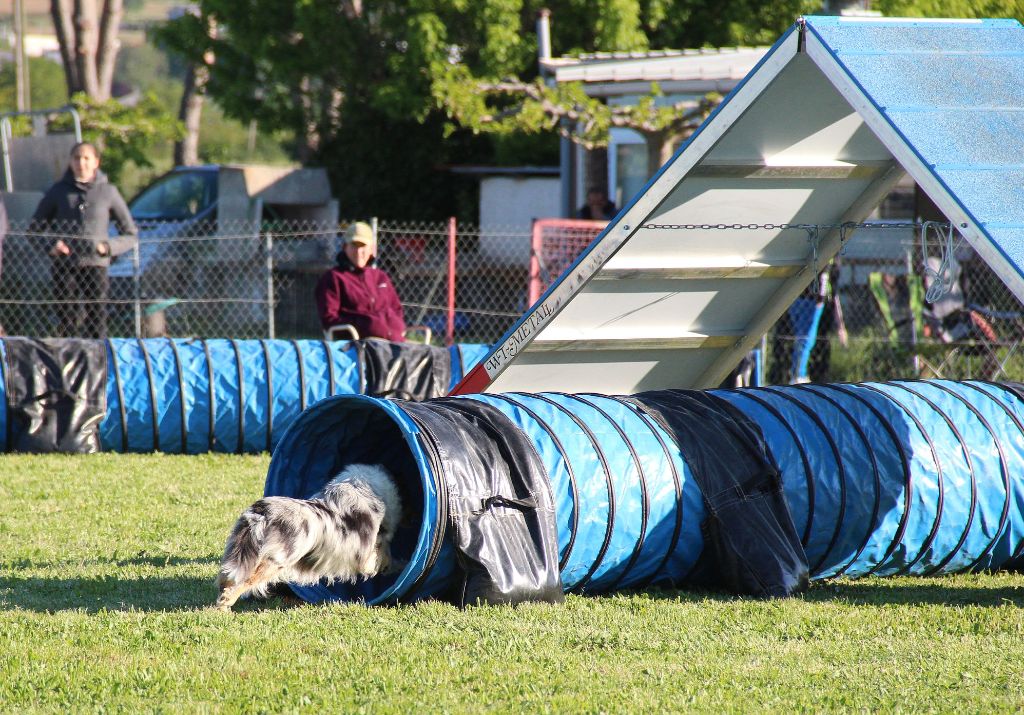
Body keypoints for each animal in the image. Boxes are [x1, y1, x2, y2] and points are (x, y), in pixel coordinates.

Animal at [214, 465, 401, 610]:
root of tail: (263, 512)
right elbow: (385, 558)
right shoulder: (367, 557)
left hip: (240, 551)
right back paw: (224, 606)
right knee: (242, 583)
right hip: (275, 561)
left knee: (226, 577)